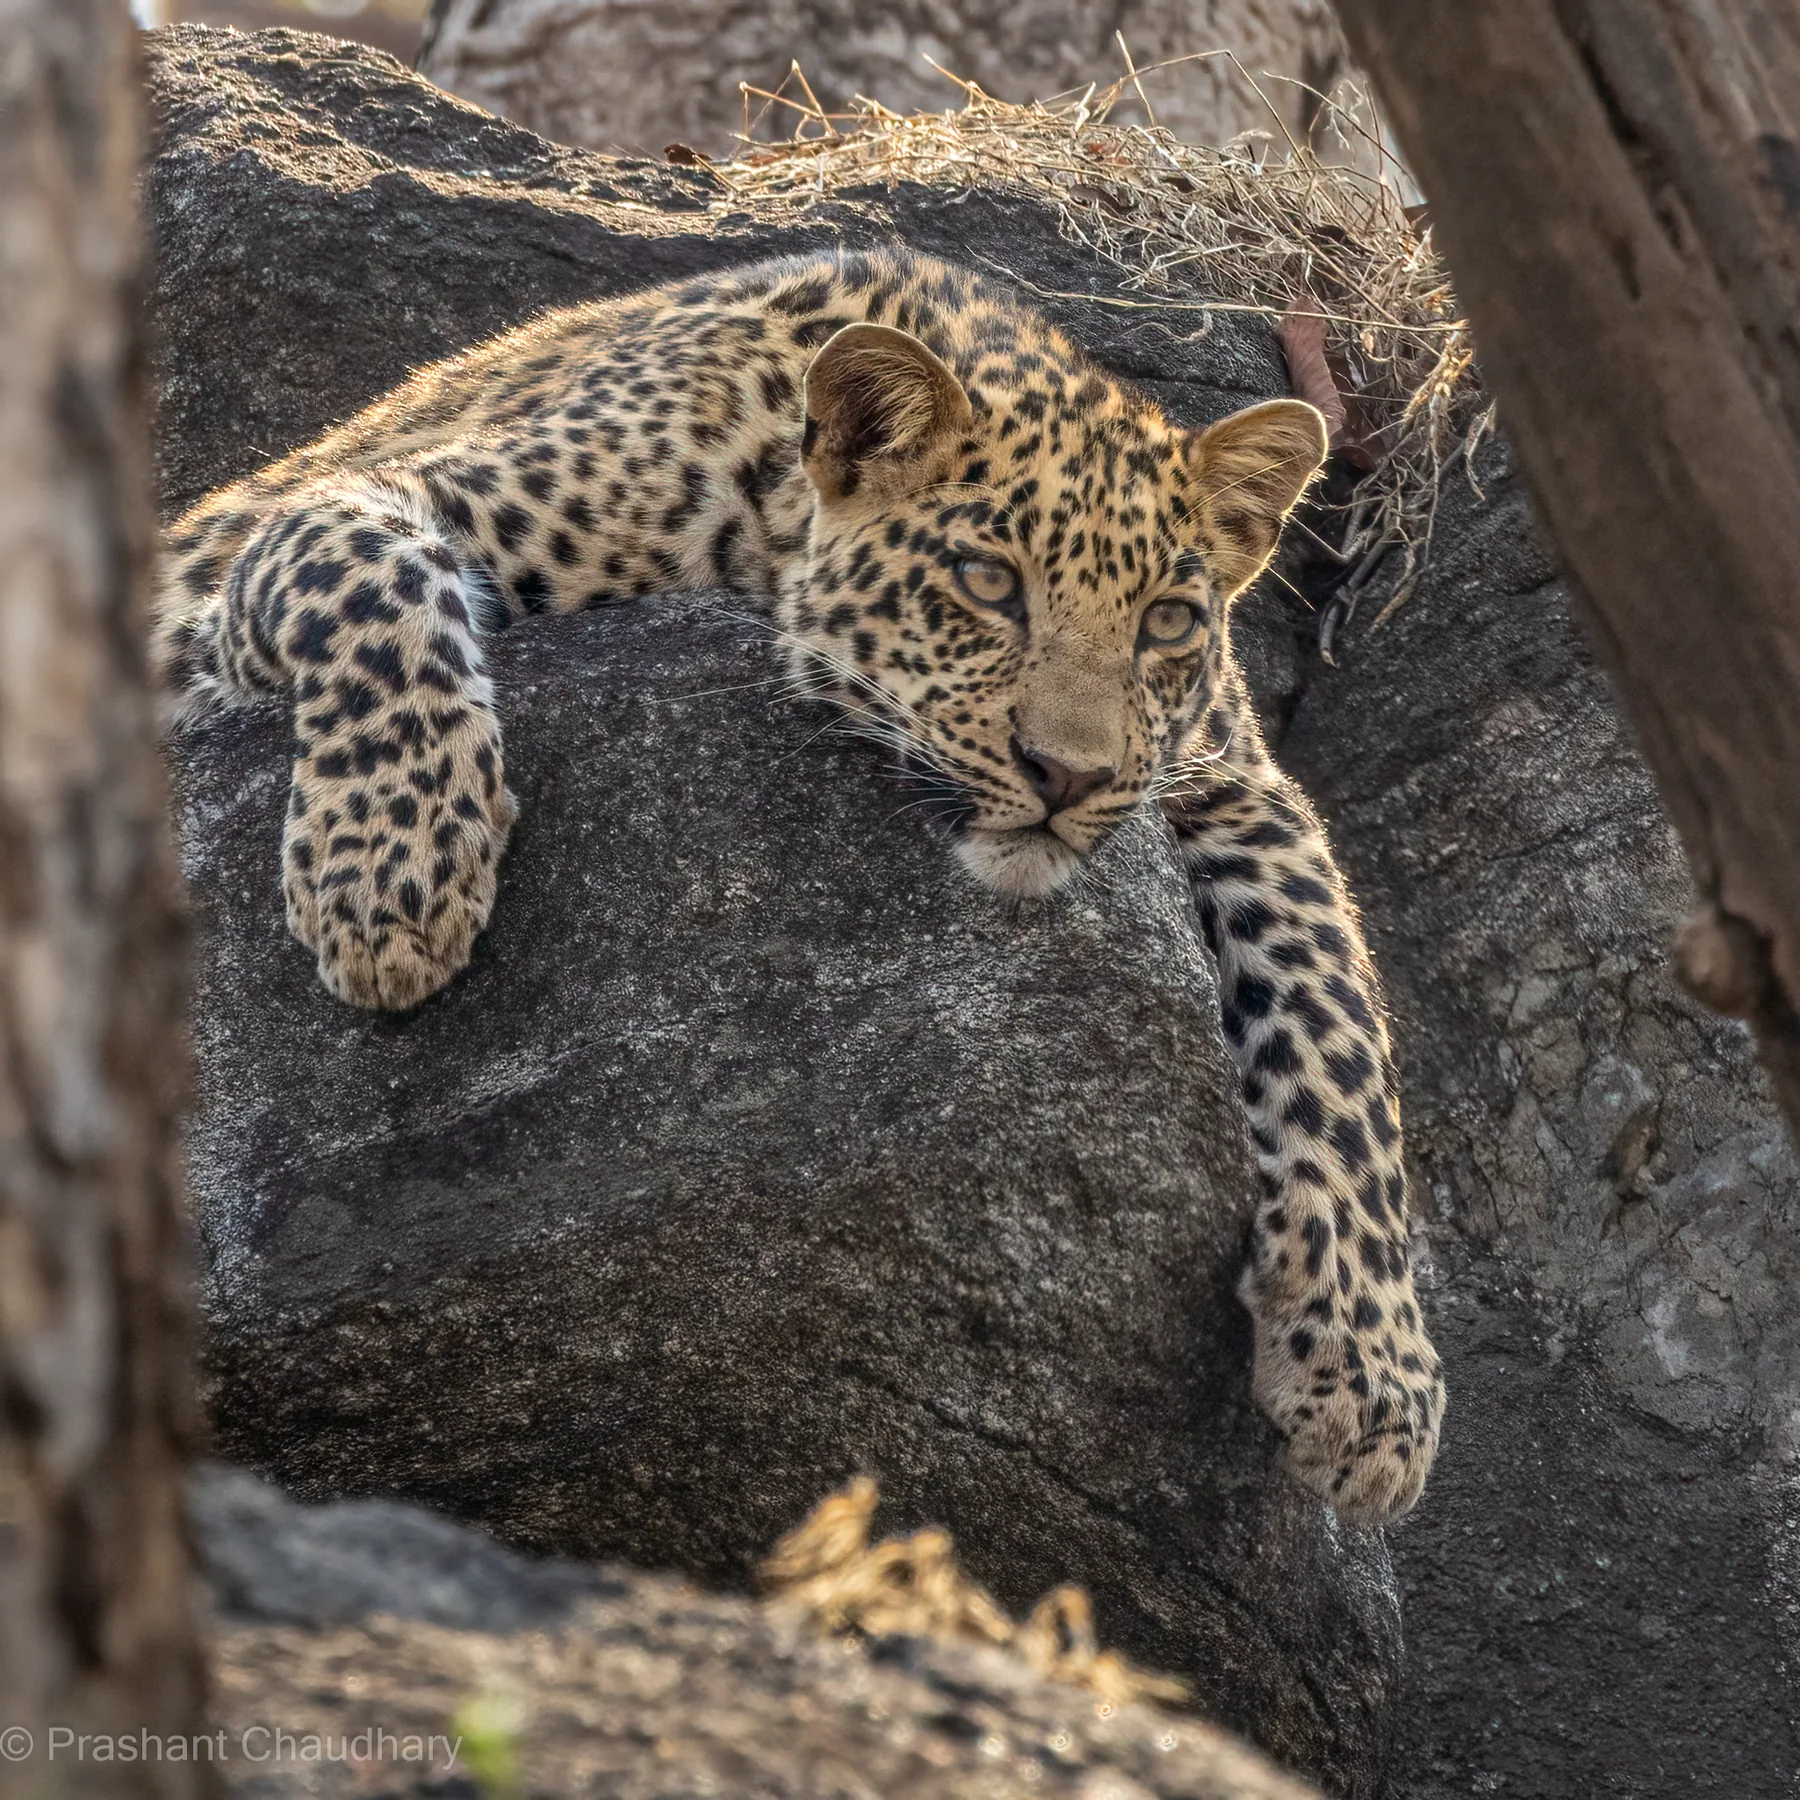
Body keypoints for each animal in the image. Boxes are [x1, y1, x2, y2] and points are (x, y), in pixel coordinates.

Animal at [153, 247, 1444, 1523]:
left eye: (1168, 620)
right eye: (987, 581)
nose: (1066, 775)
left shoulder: (1235, 780)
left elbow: (1337, 1035)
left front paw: (1372, 1368)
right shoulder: (308, 542)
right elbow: (373, 578)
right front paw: (392, 869)